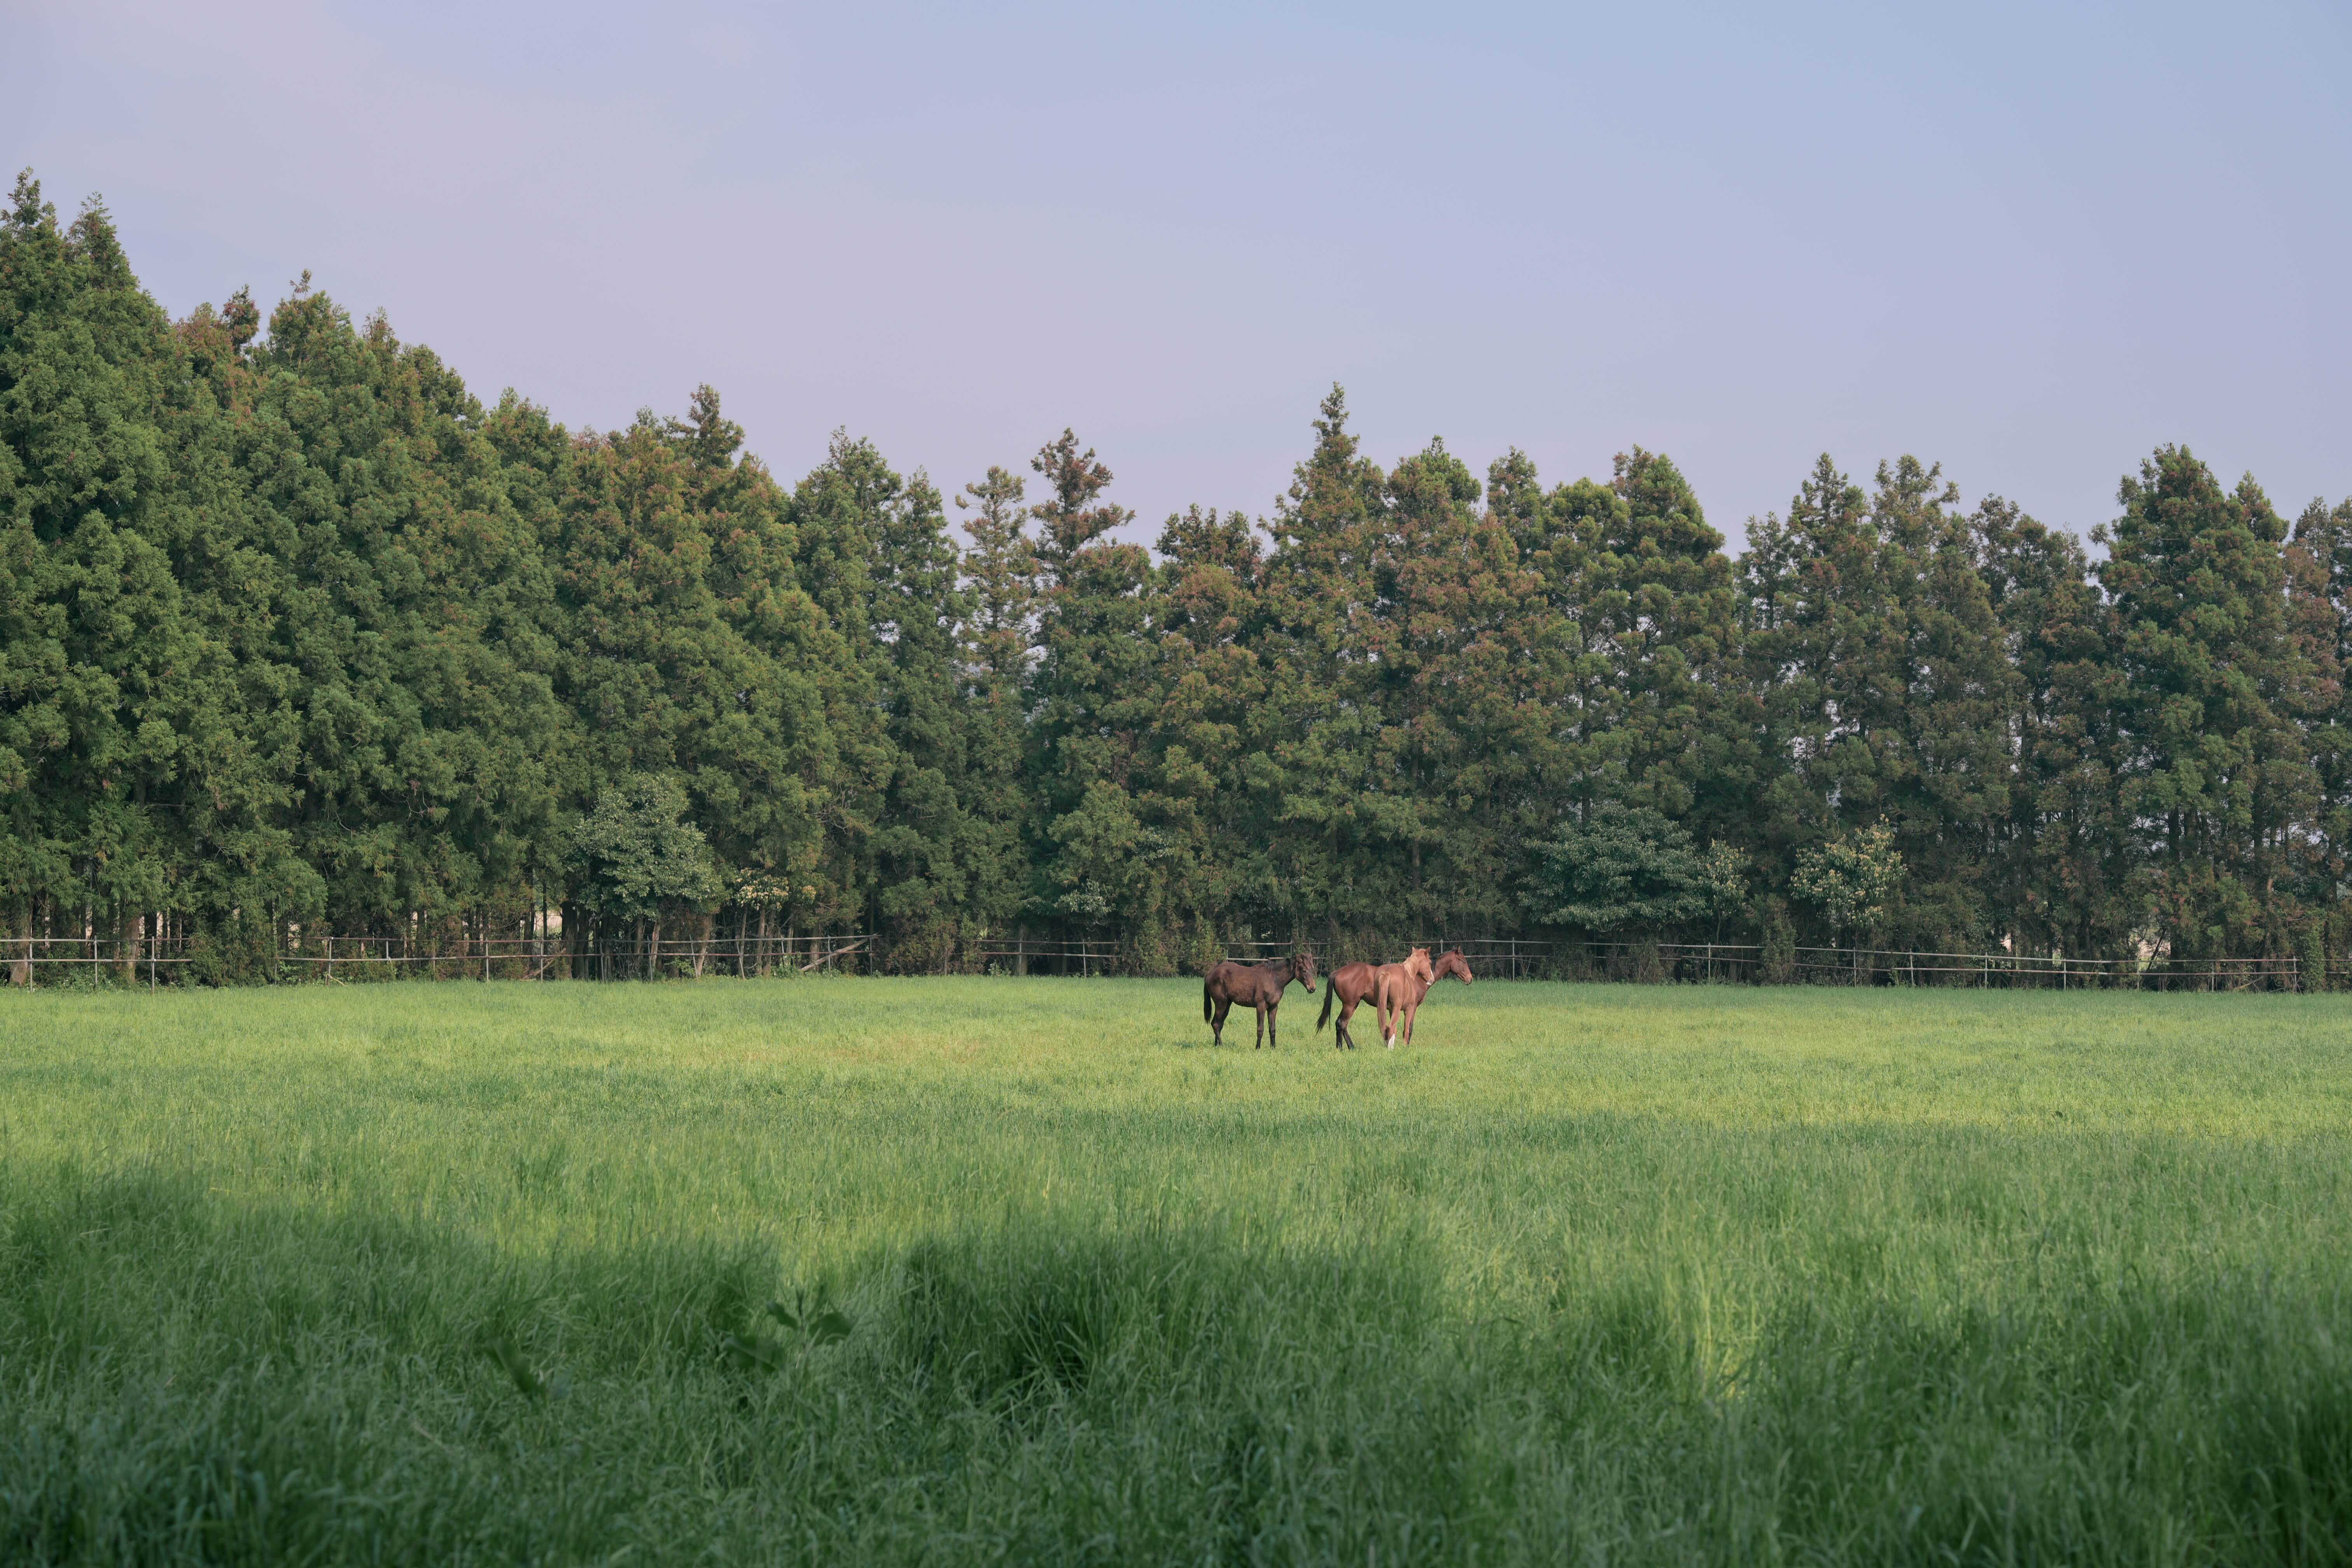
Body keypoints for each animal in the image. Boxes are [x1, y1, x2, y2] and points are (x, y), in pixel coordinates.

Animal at [1202, 951, 1319, 1049]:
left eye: (1312, 969)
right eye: (1304, 970)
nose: (1313, 989)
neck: (1273, 980)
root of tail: (1210, 974)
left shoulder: (1273, 1008)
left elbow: (1272, 1029)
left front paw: (1273, 1048)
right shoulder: (1261, 1007)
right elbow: (1260, 1029)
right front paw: (1258, 1048)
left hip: (1227, 1005)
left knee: (1218, 1024)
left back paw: (1217, 1045)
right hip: (1221, 1004)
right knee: (1216, 1025)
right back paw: (1221, 1045)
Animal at [1318, 949, 1472, 1049]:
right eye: (1464, 961)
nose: (1470, 979)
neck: (1416, 976)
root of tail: (1338, 971)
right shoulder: (1412, 1008)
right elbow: (1409, 1028)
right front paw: (1406, 1047)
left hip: (1353, 1005)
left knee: (1344, 1025)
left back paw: (1351, 1047)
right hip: (1350, 1005)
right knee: (1341, 1024)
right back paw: (1342, 1048)